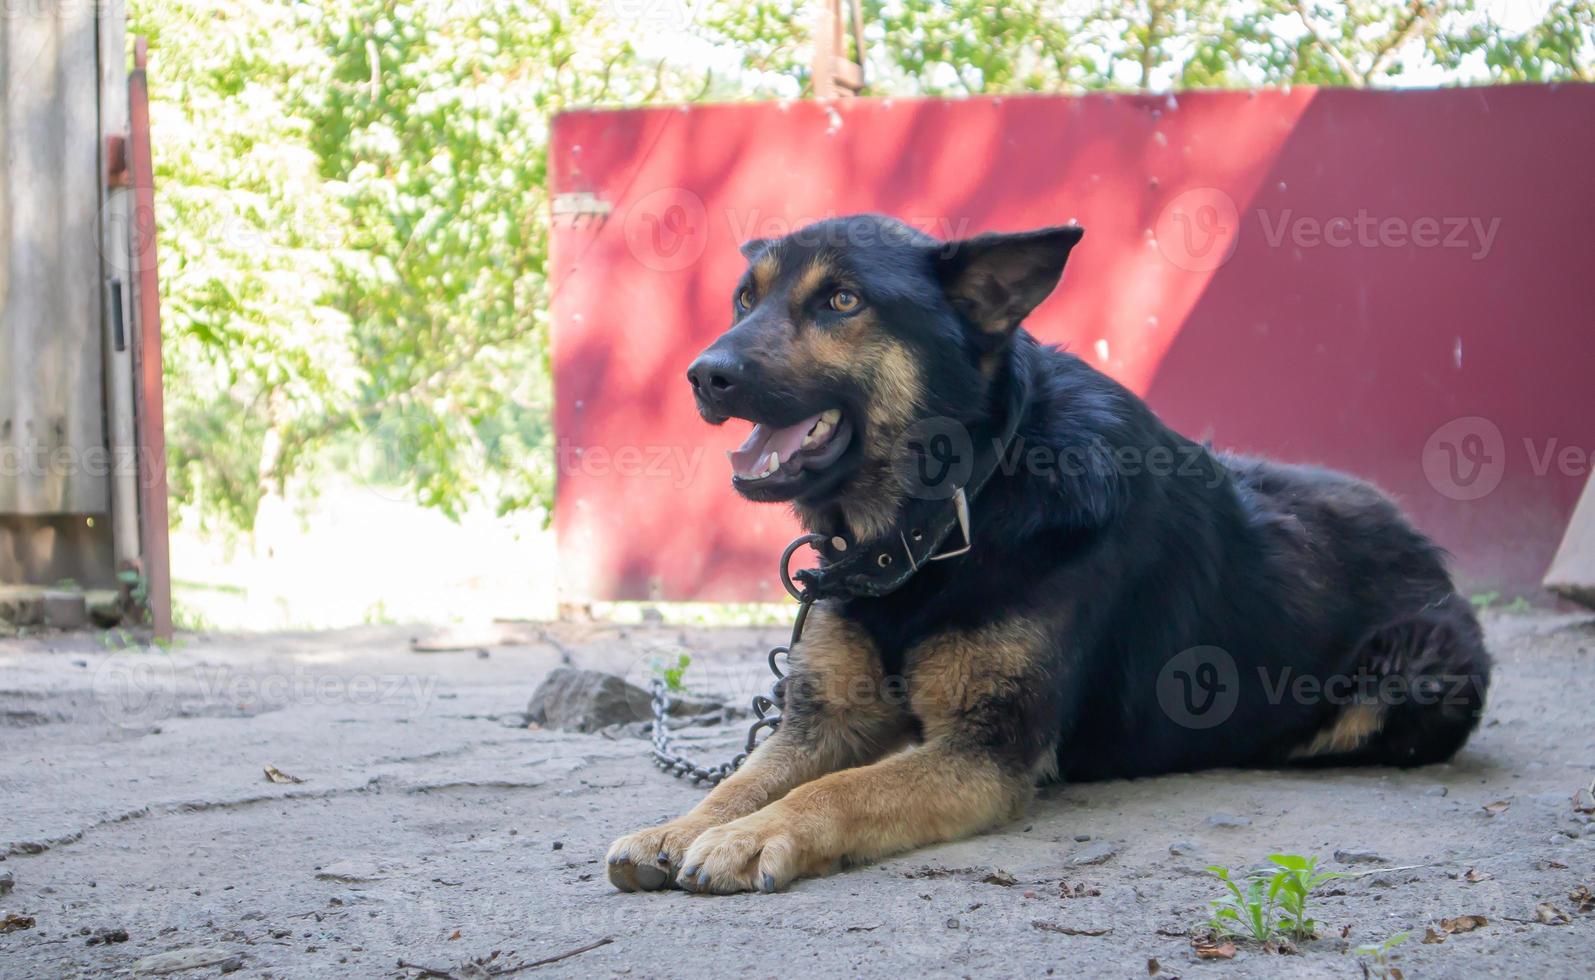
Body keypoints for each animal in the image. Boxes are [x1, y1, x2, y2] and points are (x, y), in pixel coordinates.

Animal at [602, 215, 1486, 900]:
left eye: (841, 301)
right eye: (744, 300)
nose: (703, 375)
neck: (954, 510)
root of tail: (1419, 539)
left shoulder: (983, 753)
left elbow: (838, 787)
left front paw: (753, 835)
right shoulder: (827, 720)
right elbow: (744, 778)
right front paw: (679, 826)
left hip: (1422, 670)